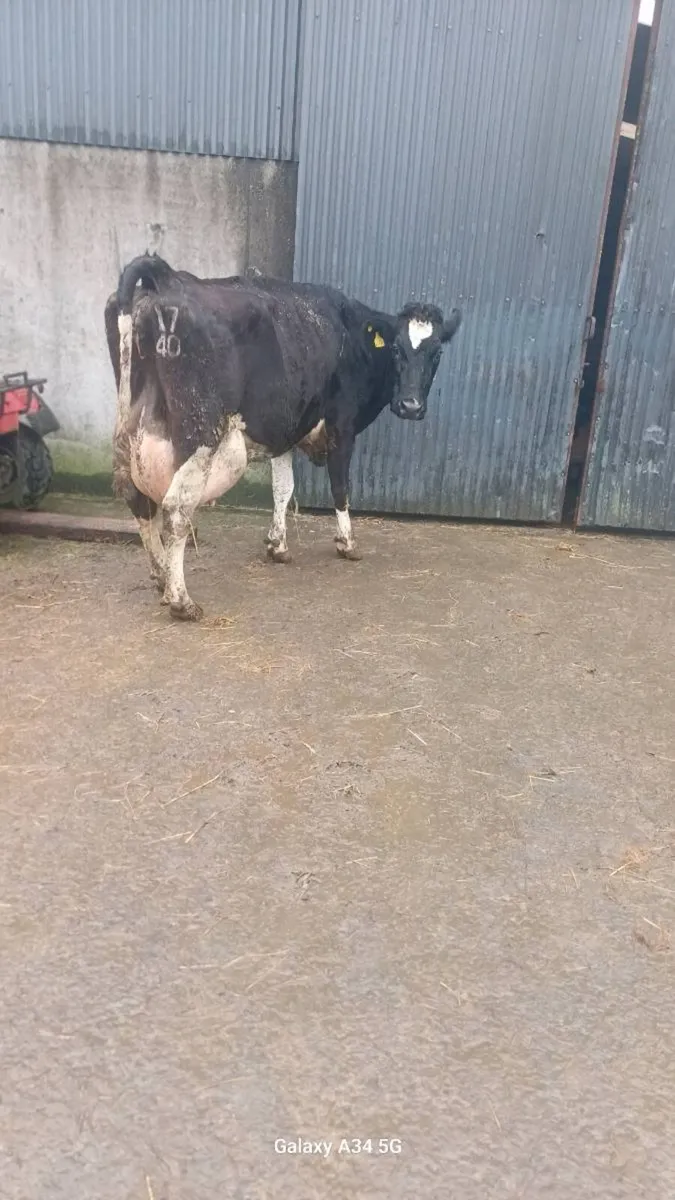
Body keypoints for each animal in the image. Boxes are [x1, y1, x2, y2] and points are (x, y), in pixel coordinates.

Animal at [104, 255, 462, 621]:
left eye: (436, 354)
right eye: (396, 350)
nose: (410, 406)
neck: (353, 336)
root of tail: (165, 277)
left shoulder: (285, 430)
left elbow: (282, 489)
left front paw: (278, 545)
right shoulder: (342, 425)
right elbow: (340, 487)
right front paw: (346, 543)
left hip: (132, 429)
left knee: (136, 497)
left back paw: (161, 576)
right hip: (201, 432)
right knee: (176, 509)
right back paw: (181, 599)